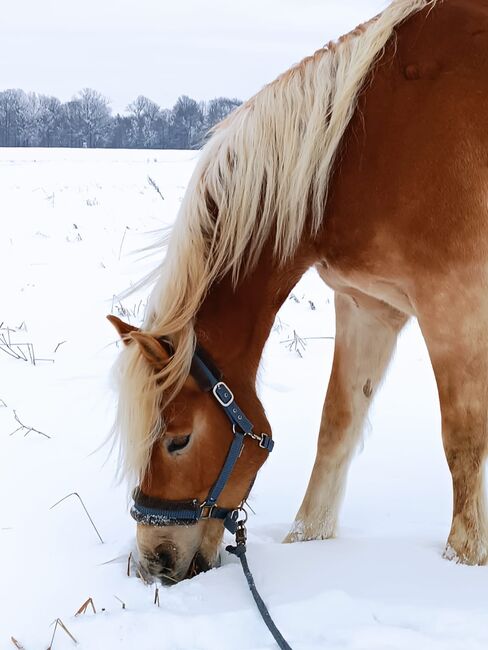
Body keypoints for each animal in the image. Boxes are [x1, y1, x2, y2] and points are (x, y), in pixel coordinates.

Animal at [108, 0, 488, 580]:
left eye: (178, 439)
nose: (156, 561)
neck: (366, 147)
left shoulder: (453, 304)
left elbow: (462, 439)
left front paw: (461, 559)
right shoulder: (366, 304)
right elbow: (337, 424)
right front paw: (308, 539)